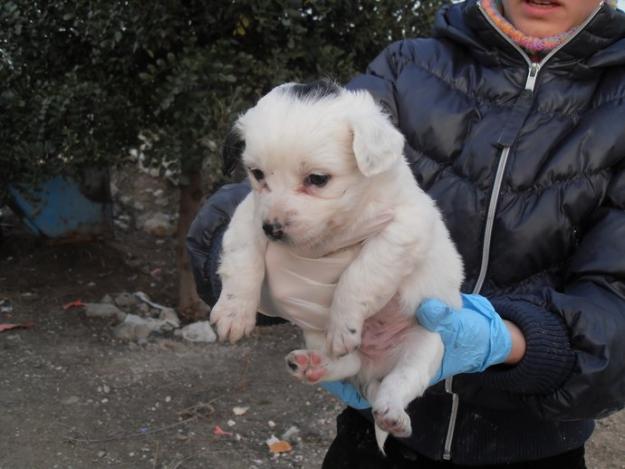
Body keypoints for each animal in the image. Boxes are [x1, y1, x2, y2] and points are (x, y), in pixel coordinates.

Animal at [212, 80, 460, 450]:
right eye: (257, 174)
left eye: (317, 179)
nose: (273, 229)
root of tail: (372, 370)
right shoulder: (250, 214)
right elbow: (243, 258)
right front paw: (233, 311)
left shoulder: (405, 225)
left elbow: (362, 273)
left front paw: (345, 322)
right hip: (317, 333)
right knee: (348, 363)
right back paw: (311, 365)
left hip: (427, 344)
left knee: (399, 382)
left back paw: (393, 414)